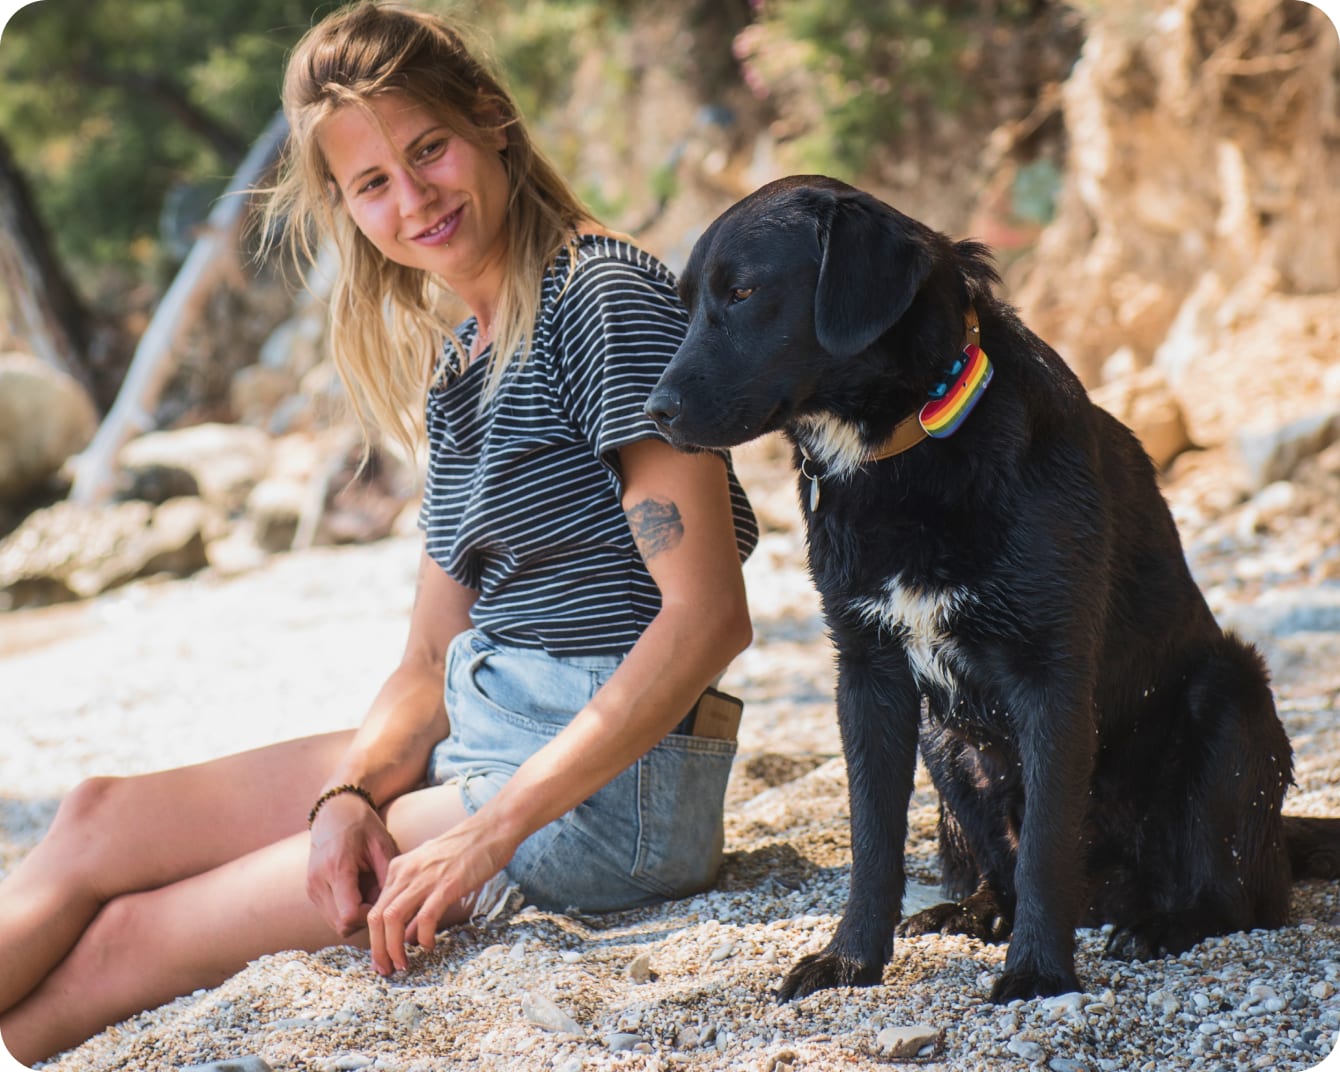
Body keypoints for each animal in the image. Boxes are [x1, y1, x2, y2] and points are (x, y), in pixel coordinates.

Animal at [643, 175, 1334, 1007]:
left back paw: (1166, 924)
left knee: (1241, 896)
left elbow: (1046, 844)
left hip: (1230, 694)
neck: (901, 445)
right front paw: (849, 959)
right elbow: (874, 842)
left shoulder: (1050, 674)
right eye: (687, 305)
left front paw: (1038, 972)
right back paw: (973, 911)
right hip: (947, 742)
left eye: (744, 293)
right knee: (1000, 868)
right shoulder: (868, 674)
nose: (654, 413)